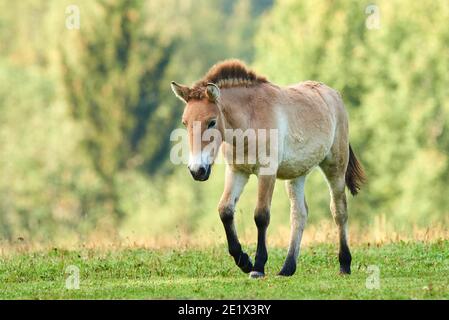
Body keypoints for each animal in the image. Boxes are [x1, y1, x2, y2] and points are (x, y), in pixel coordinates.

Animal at [169, 59, 364, 278]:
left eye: (211, 122)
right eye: (185, 123)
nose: (197, 170)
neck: (249, 121)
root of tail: (334, 94)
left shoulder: (266, 172)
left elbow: (261, 216)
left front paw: (258, 266)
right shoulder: (237, 171)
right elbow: (225, 210)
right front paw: (244, 261)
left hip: (335, 168)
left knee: (339, 211)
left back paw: (344, 264)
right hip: (296, 174)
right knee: (299, 214)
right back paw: (287, 268)